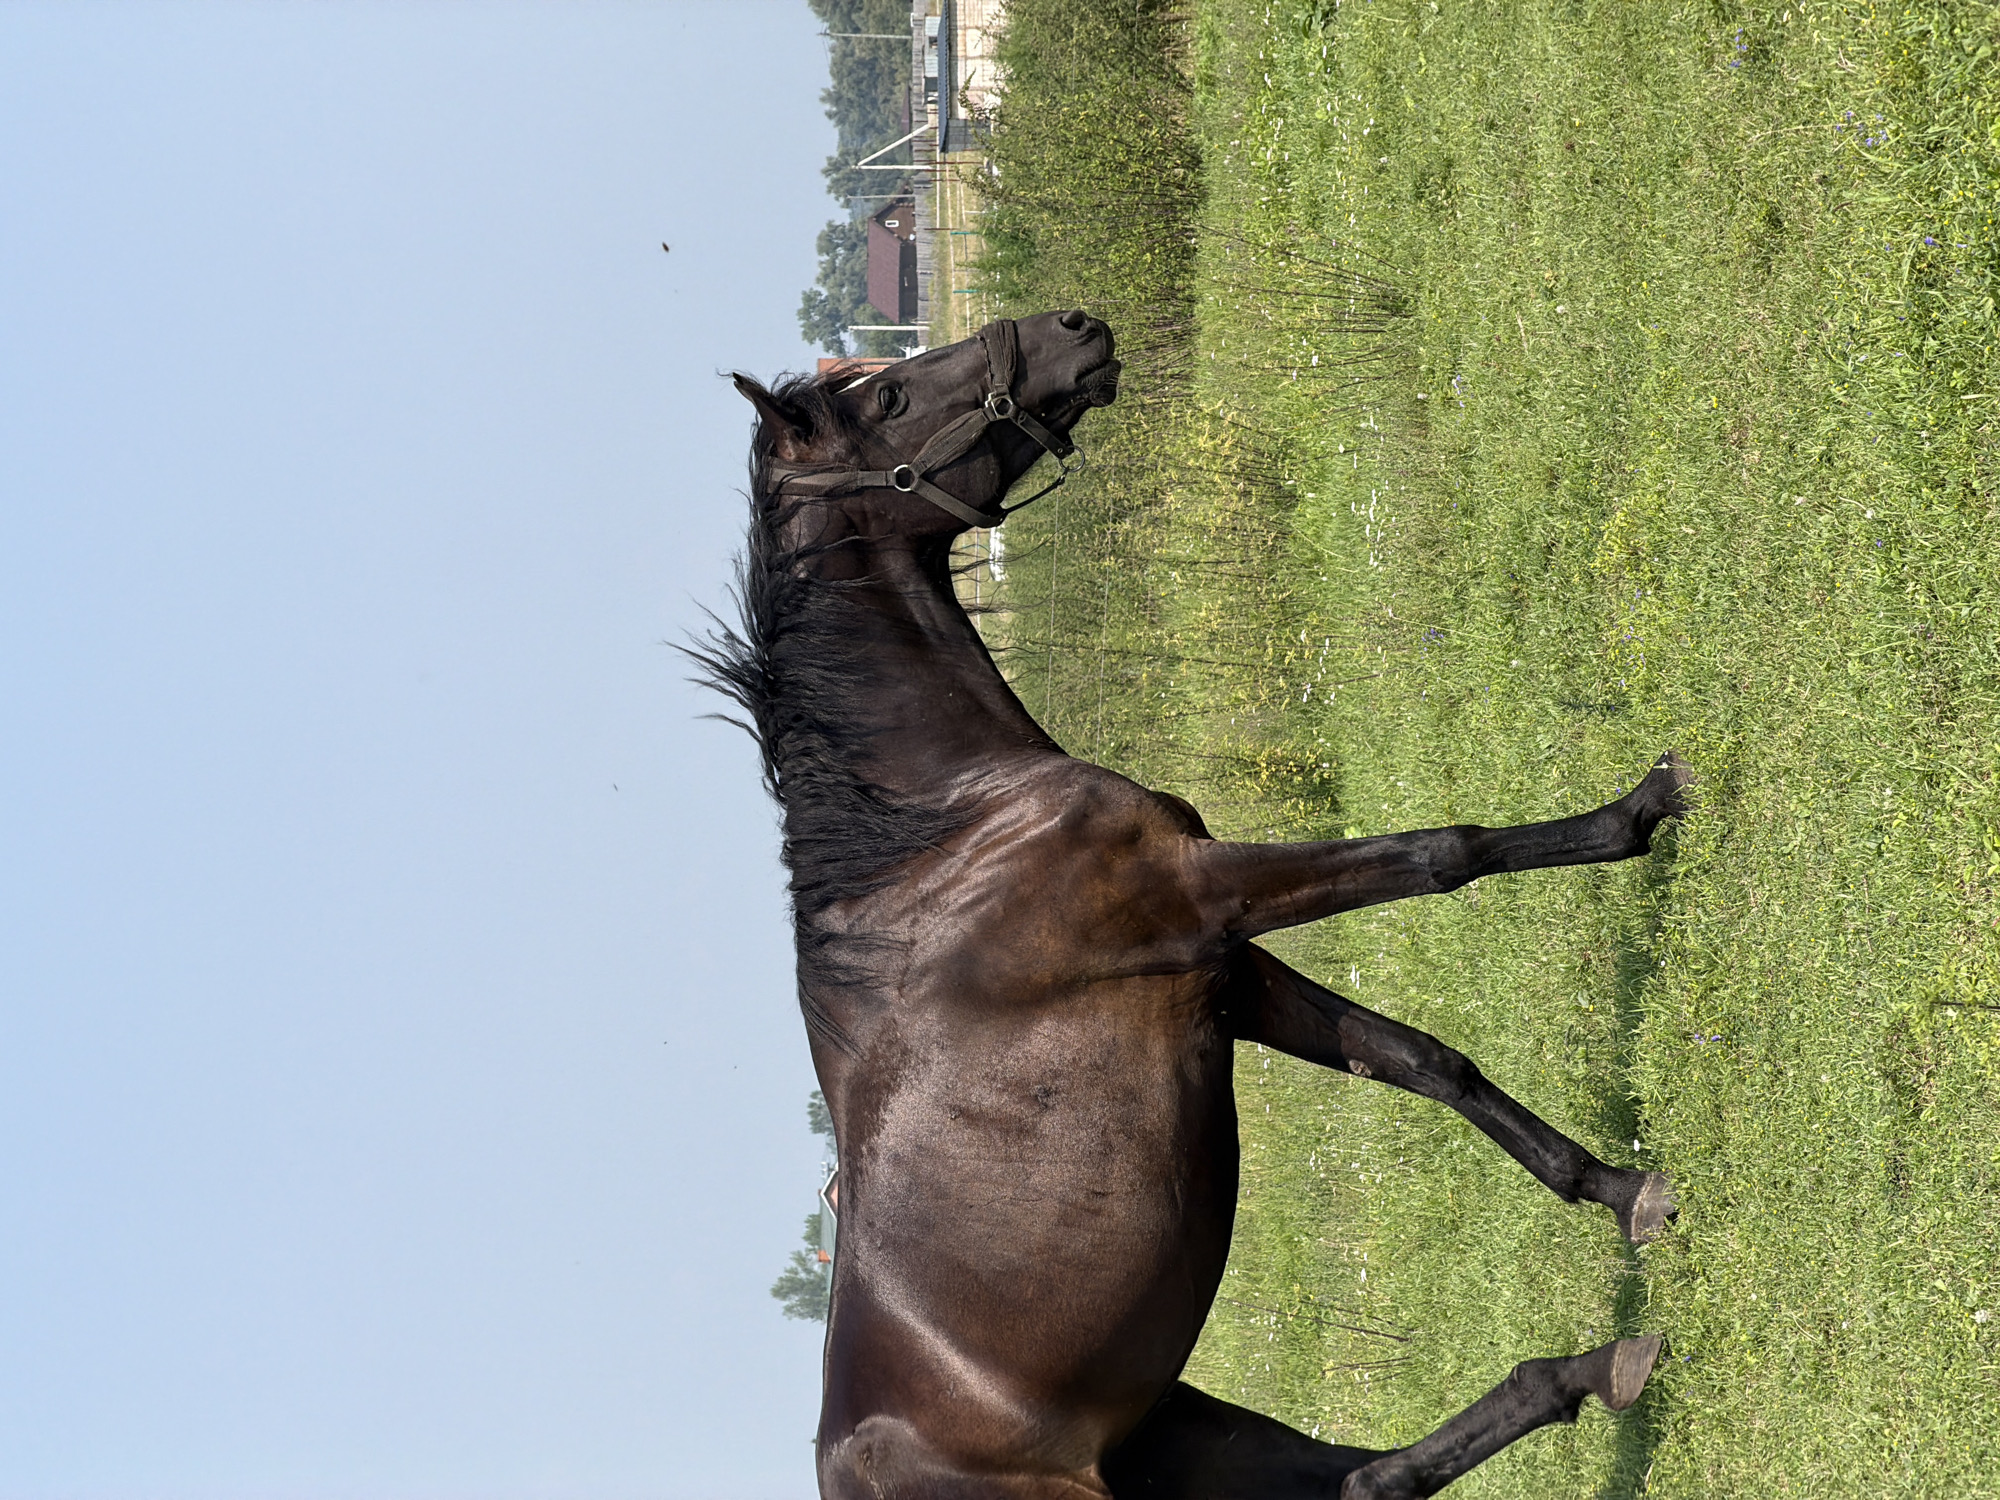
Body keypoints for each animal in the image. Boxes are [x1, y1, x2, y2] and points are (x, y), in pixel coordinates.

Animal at [698, 312, 1689, 1499]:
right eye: (887, 401)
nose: (1072, 328)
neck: (949, 825)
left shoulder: (1227, 974)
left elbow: (1424, 1061)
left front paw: (1623, 1191)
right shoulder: (1201, 894)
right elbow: (1440, 854)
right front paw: (1642, 808)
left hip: (1173, 1430)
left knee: (1367, 1476)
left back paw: (1592, 1368)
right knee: (1368, 1484)